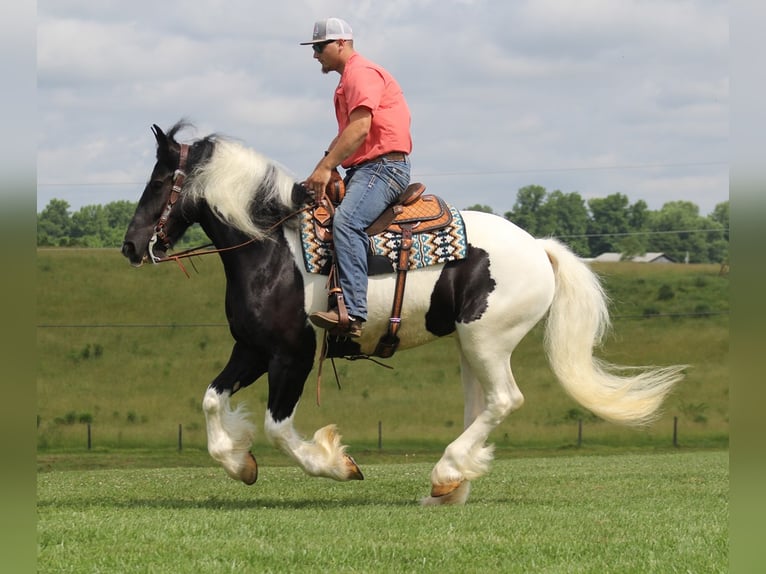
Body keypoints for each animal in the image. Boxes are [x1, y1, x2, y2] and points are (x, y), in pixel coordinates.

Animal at [123, 120, 688, 504]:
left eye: (158, 182)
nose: (130, 247)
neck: (273, 250)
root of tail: (539, 247)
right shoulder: (253, 349)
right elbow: (210, 400)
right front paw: (239, 463)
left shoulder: (292, 355)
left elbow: (279, 427)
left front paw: (337, 464)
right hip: (469, 346)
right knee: (481, 405)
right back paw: (452, 484)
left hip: (487, 340)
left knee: (504, 400)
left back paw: (446, 473)